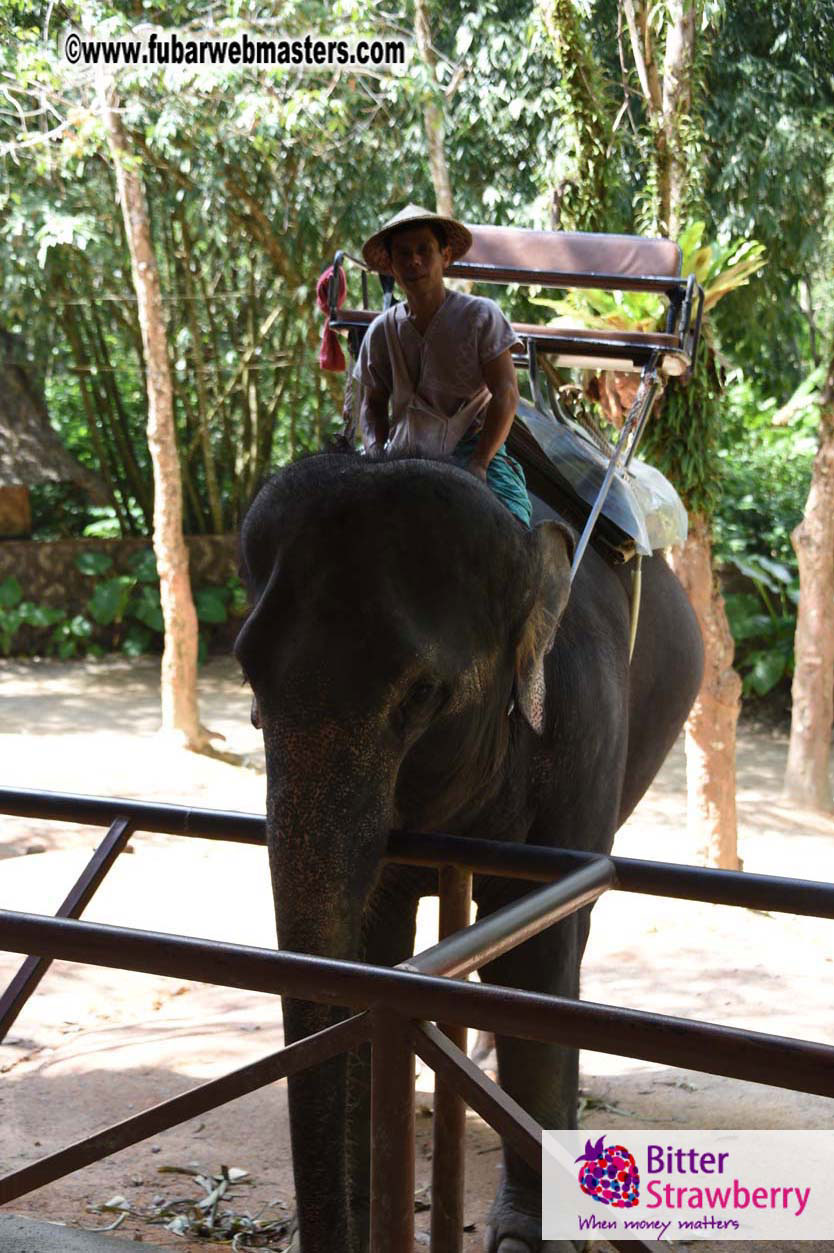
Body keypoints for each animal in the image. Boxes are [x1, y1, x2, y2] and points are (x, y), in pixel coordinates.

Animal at [234, 448, 703, 1253]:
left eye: (421, 695)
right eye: (247, 677)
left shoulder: (585, 724)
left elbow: (537, 947)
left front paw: (524, 1237)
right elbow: (375, 952)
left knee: (568, 936)